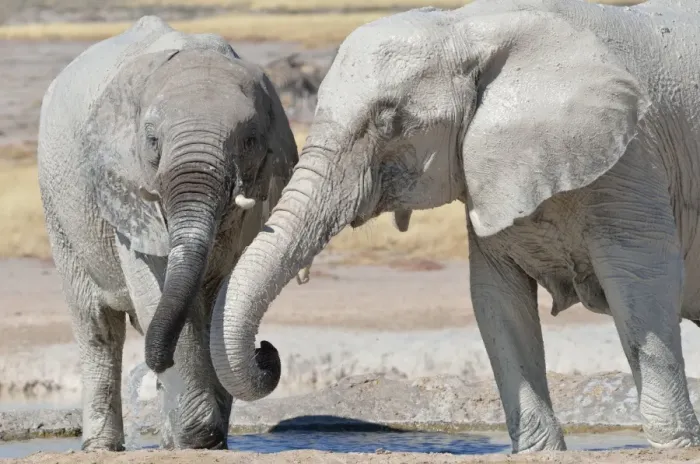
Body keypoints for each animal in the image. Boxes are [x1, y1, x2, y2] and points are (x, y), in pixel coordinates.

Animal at [37, 15, 310, 451]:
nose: (265, 349)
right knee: (96, 327)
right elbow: (158, 289)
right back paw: (102, 447)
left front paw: (207, 442)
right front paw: (199, 440)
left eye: (250, 141)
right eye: (152, 141)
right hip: (58, 208)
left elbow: (219, 299)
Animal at [206, 0, 700, 454]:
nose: (267, 352)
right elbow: (497, 299)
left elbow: (642, 286)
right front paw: (540, 453)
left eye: (389, 121)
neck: (470, 25)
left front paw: (674, 448)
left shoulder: (632, 160)